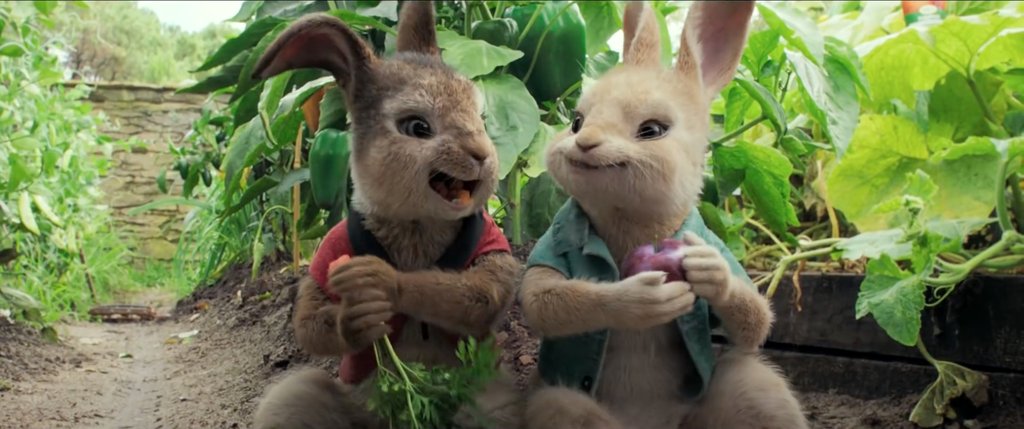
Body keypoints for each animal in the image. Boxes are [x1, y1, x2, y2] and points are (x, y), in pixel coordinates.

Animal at [247, 2, 523, 428]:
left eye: (482, 117)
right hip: (300, 401)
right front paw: (356, 313)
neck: (415, 223)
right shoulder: (330, 250)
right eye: (417, 127)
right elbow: (308, 322)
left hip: (492, 404)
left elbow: (482, 293)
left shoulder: (489, 241)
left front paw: (379, 278)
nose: (481, 155)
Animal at [516, 2, 808, 429]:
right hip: (561, 408)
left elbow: (754, 321)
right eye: (576, 122)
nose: (585, 143)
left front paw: (710, 270)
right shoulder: (551, 246)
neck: (634, 225)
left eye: (653, 130)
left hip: (753, 391)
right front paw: (638, 299)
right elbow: (544, 300)